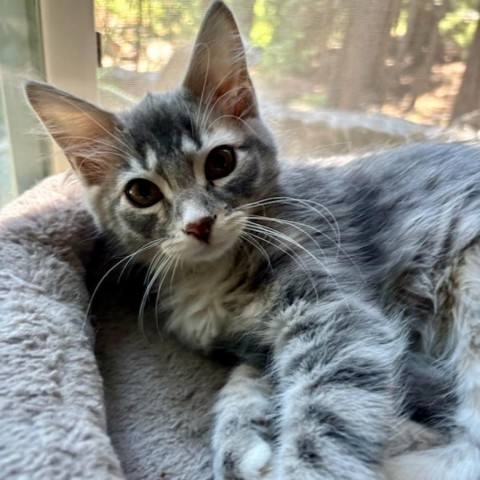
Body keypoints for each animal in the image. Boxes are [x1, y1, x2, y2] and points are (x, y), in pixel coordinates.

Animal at [25, 0, 480, 480]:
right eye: (142, 193)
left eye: (221, 162)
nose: (199, 224)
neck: (211, 274)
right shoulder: (254, 346)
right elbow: (246, 384)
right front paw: (242, 445)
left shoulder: (337, 315)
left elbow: (326, 411)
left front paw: (295, 467)